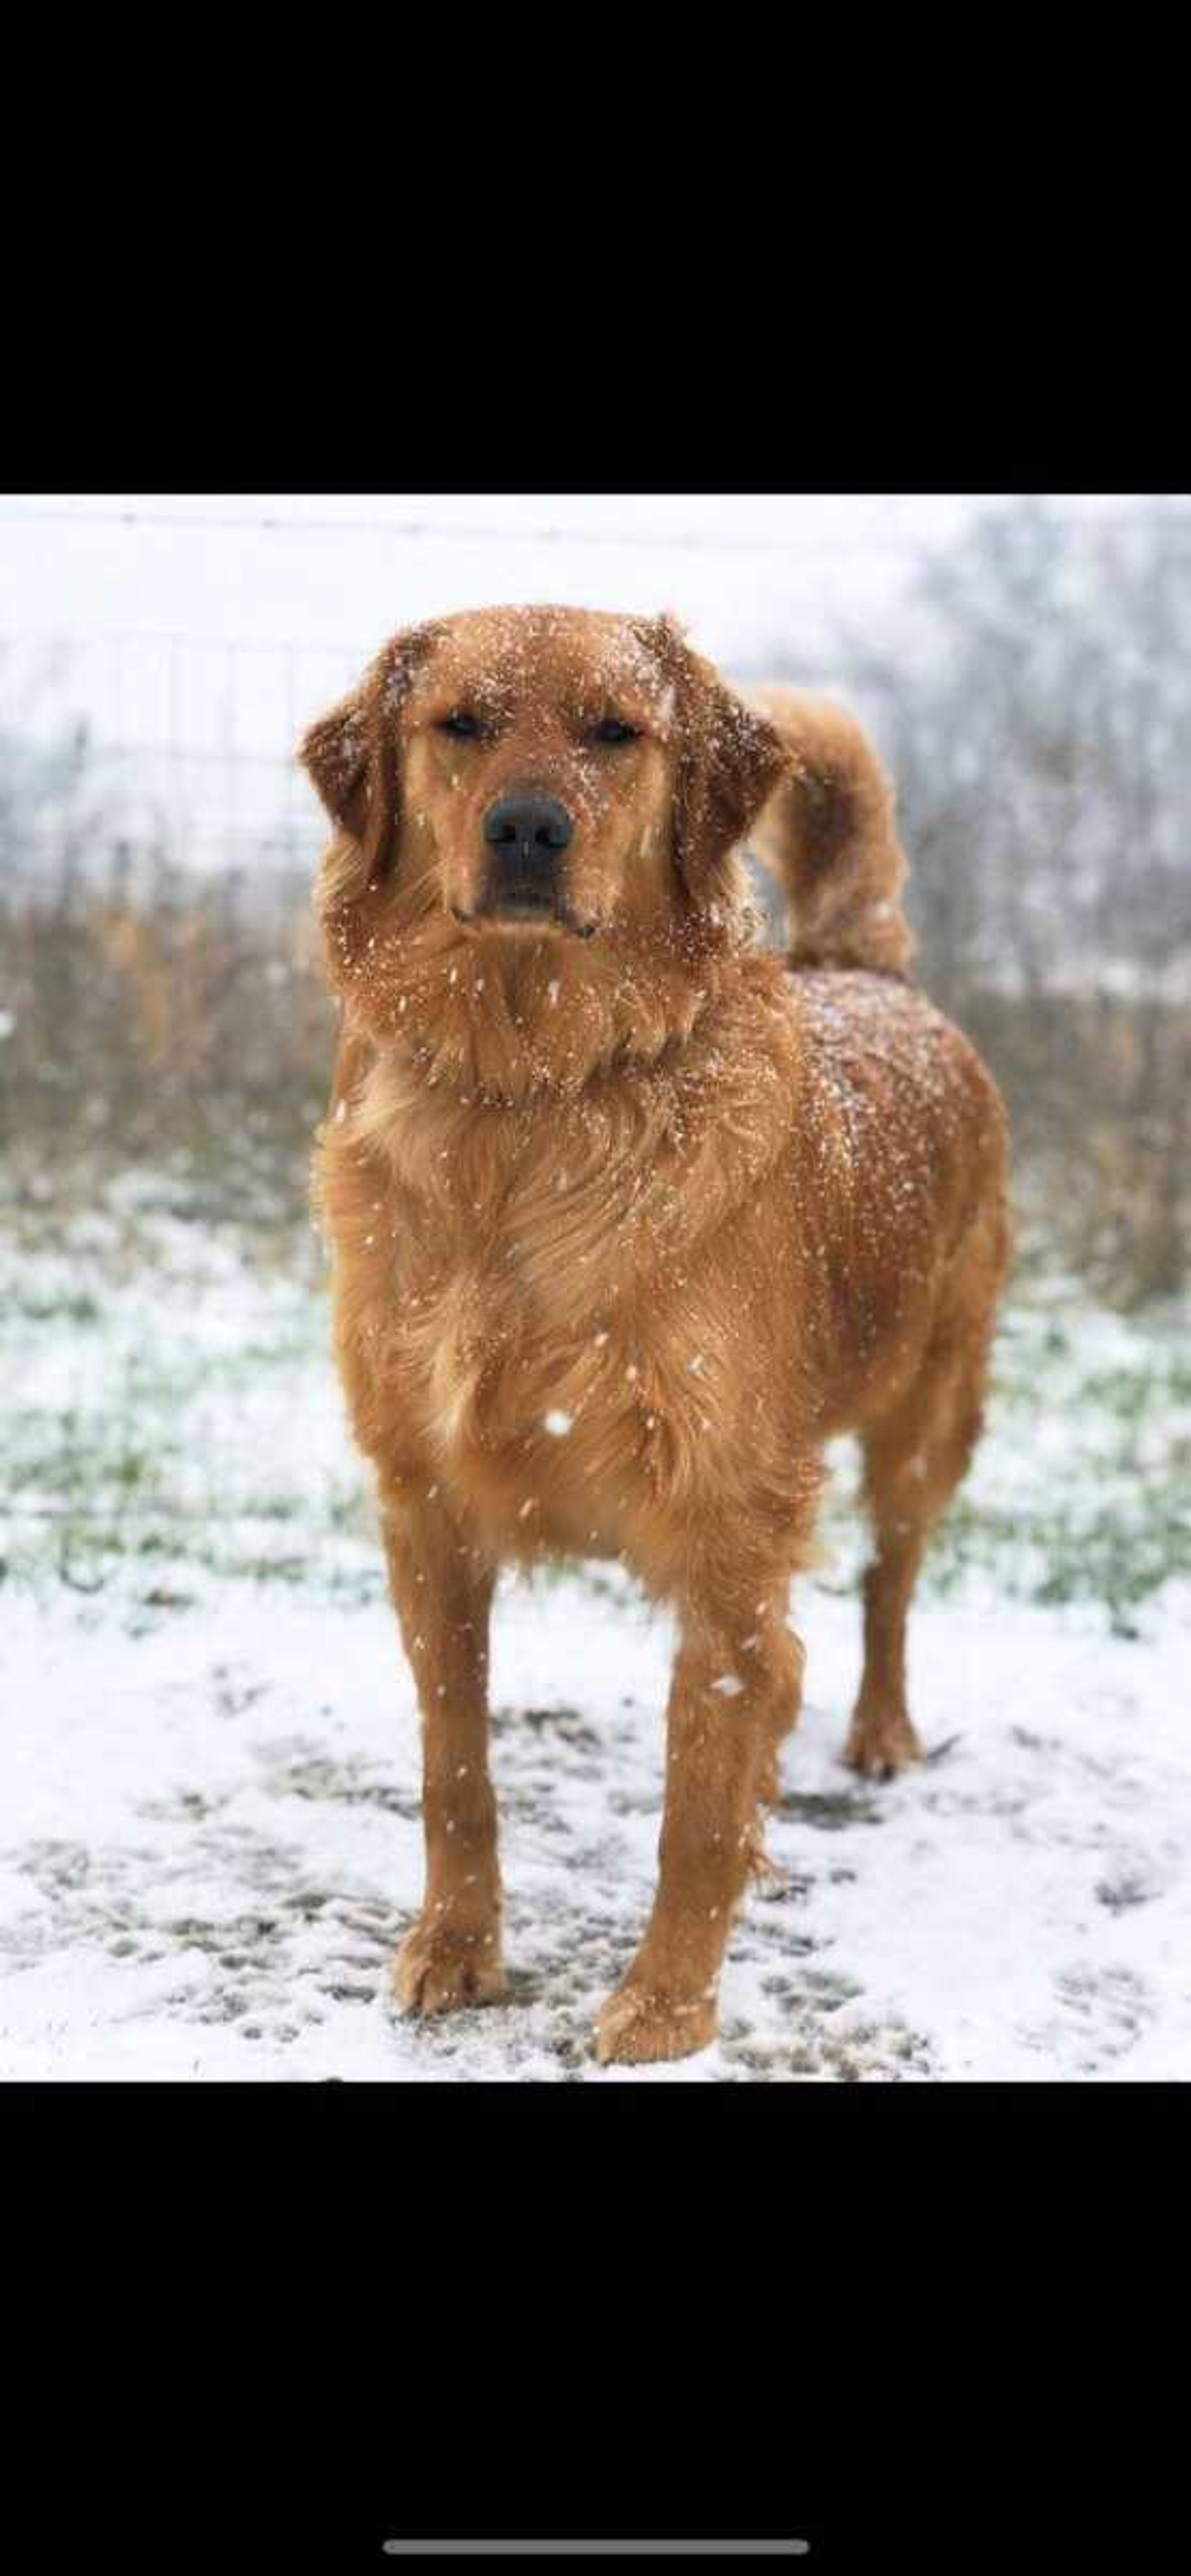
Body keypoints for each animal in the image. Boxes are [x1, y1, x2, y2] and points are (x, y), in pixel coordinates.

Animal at [303, 608, 1010, 2071]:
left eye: (615, 731)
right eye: (460, 722)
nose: (526, 827)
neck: (527, 1096)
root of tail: (866, 971)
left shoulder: (729, 1513)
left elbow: (698, 1790)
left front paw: (667, 2006)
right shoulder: (423, 1506)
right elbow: (455, 1765)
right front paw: (454, 1947)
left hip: (930, 1415)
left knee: (885, 1585)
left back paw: (882, 1732)